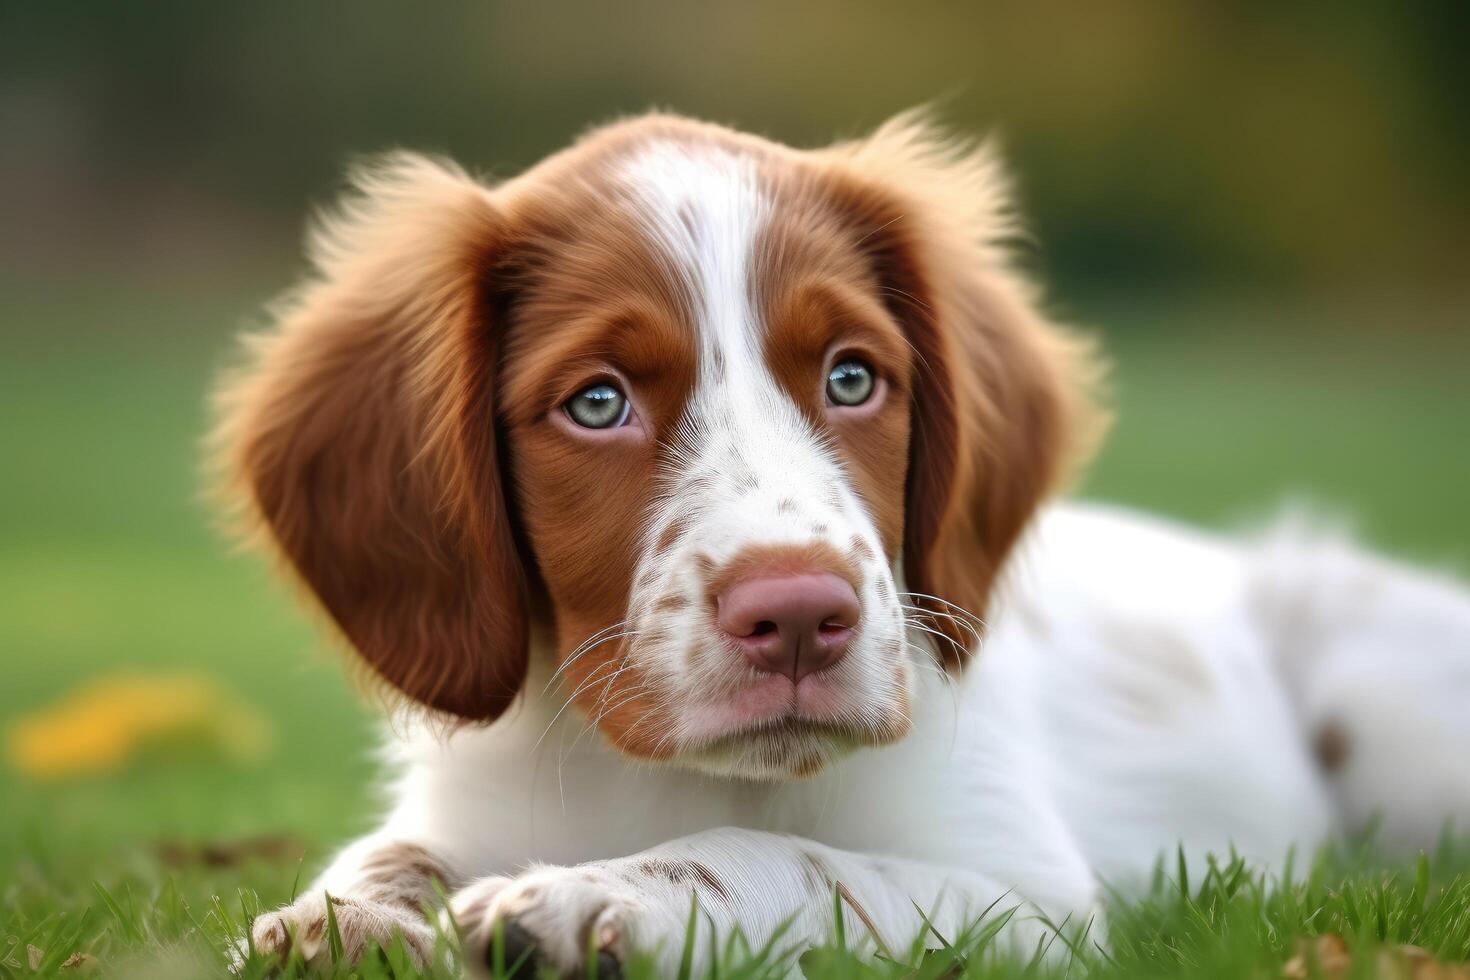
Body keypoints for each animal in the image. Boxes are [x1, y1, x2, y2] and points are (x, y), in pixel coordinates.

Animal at [214, 113, 1470, 975]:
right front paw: (341, 919)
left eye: (853, 377)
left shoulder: (1031, 902)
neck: (657, 770)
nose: (801, 616)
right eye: (597, 401)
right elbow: (390, 852)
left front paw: (595, 902)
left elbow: (805, 862)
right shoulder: (462, 798)